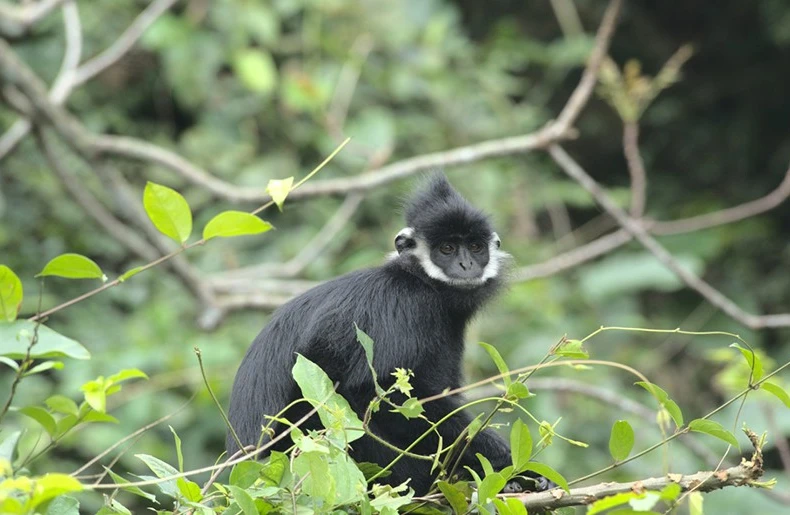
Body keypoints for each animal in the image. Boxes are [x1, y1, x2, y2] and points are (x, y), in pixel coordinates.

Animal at [226, 173, 552, 496]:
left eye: (475, 247)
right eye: (446, 249)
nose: (466, 265)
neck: (420, 280)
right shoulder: (401, 305)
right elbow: (368, 390)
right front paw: (504, 460)